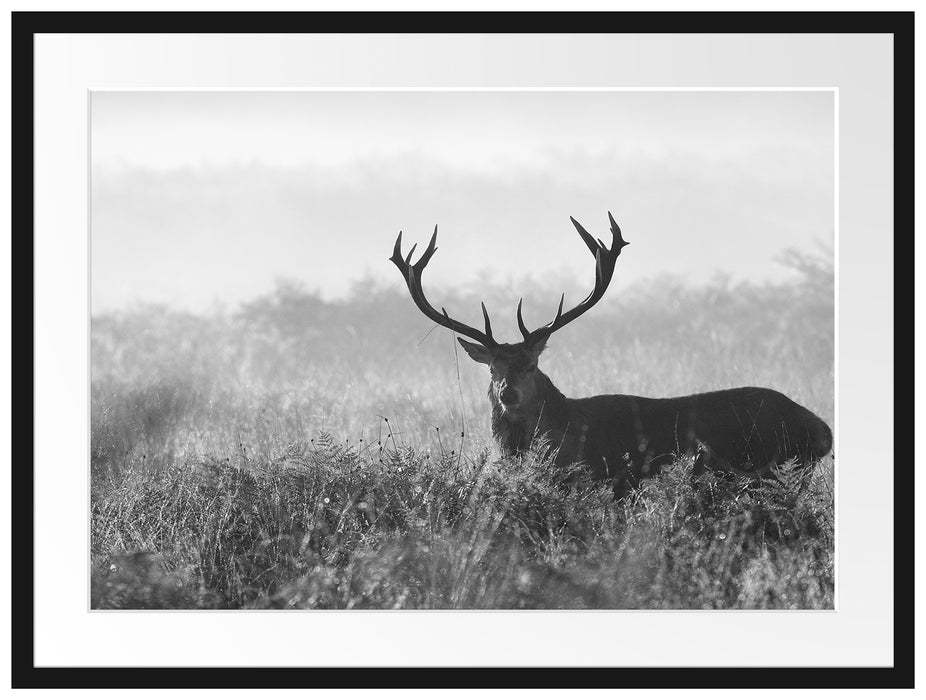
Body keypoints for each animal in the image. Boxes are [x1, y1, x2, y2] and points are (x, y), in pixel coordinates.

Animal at [388, 213, 836, 498]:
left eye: (532, 365)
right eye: (492, 367)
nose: (507, 393)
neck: (565, 434)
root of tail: (822, 430)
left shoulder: (609, 480)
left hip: (772, 468)